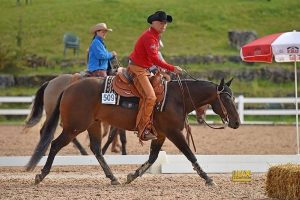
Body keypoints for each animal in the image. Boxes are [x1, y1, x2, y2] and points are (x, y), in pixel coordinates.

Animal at [27, 77, 240, 186]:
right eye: (226, 98)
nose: (237, 122)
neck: (176, 98)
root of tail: (68, 87)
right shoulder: (173, 132)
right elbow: (189, 154)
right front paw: (207, 178)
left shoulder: (160, 134)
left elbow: (153, 157)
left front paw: (132, 175)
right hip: (74, 126)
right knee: (55, 144)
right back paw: (41, 175)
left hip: (92, 124)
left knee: (96, 149)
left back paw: (113, 178)